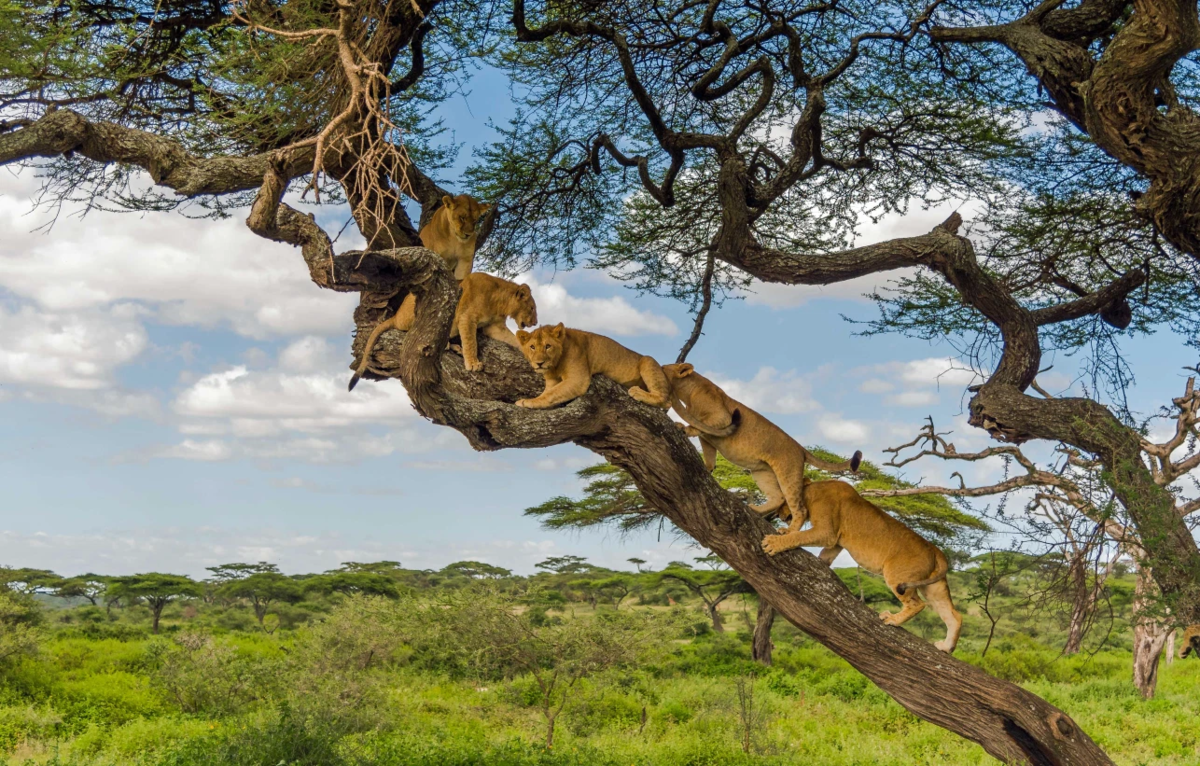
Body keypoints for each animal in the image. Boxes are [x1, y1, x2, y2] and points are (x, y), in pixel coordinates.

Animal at [348, 273, 535, 389]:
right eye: (532, 308)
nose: (535, 322)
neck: (499, 302)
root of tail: (396, 315)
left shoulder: (495, 327)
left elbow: (512, 338)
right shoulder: (466, 318)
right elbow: (471, 342)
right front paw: (473, 364)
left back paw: (454, 347)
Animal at [511, 321, 672, 410]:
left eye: (548, 346)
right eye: (532, 347)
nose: (539, 363)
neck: (555, 365)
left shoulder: (578, 379)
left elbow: (551, 394)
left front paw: (527, 402)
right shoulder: (551, 382)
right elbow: (547, 393)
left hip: (647, 360)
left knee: (666, 401)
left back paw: (637, 392)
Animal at [662, 364, 859, 528]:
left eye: (662, 367)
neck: (688, 392)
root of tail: (800, 448)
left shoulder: (723, 418)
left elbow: (699, 424)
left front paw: (682, 427)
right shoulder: (709, 439)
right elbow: (709, 455)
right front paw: (706, 467)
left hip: (787, 473)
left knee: (799, 508)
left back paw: (788, 533)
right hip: (762, 472)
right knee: (778, 497)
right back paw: (756, 510)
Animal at [763, 480, 960, 653]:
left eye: (783, 500)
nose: (776, 514)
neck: (812, 490)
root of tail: (936, 550)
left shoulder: (826, 532)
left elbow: (799, 537)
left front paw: (774, 542)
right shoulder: (835, 542)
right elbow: (825, 555)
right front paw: (786, 534)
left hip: (897, 576)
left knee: (917, 604)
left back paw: (892, 619)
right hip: (934, 587)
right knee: (954, 615)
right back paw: (946, 647)